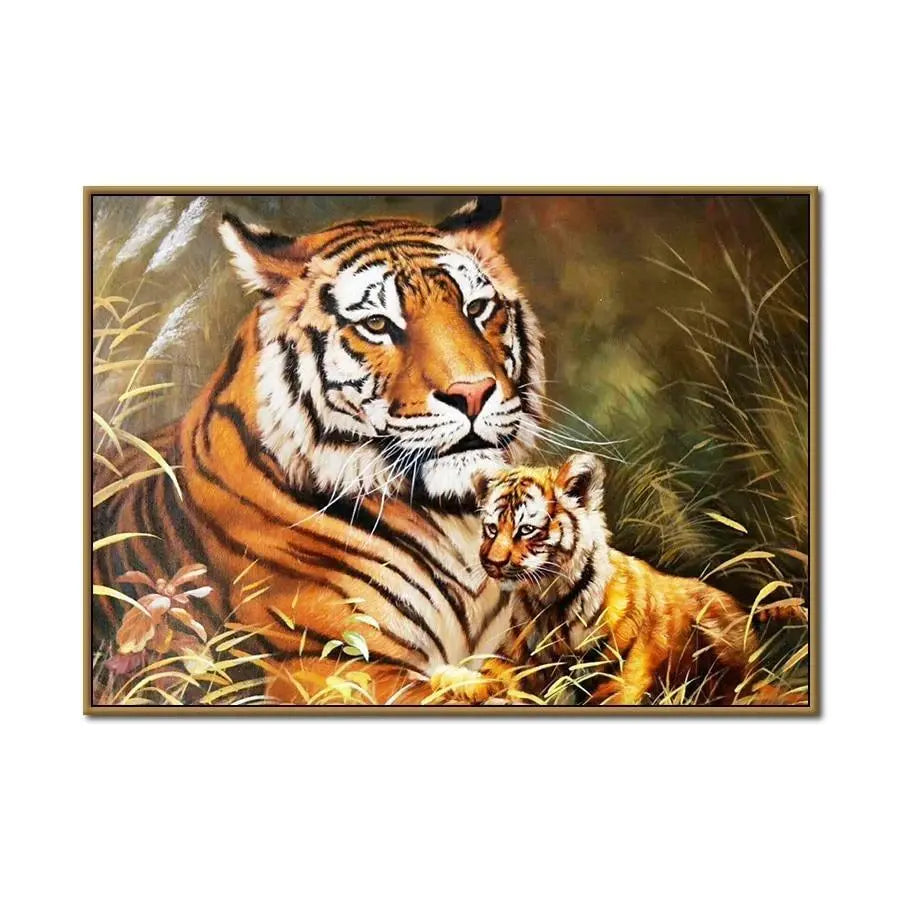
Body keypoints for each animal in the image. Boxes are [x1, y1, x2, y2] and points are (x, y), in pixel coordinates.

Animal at [431, 453, 758, 705]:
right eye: (491, 528)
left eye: (526, 530)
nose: (492, 563)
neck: (549, 601)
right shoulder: (513, 661)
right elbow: (489, 673)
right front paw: (450, 678)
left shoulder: (617, 684)